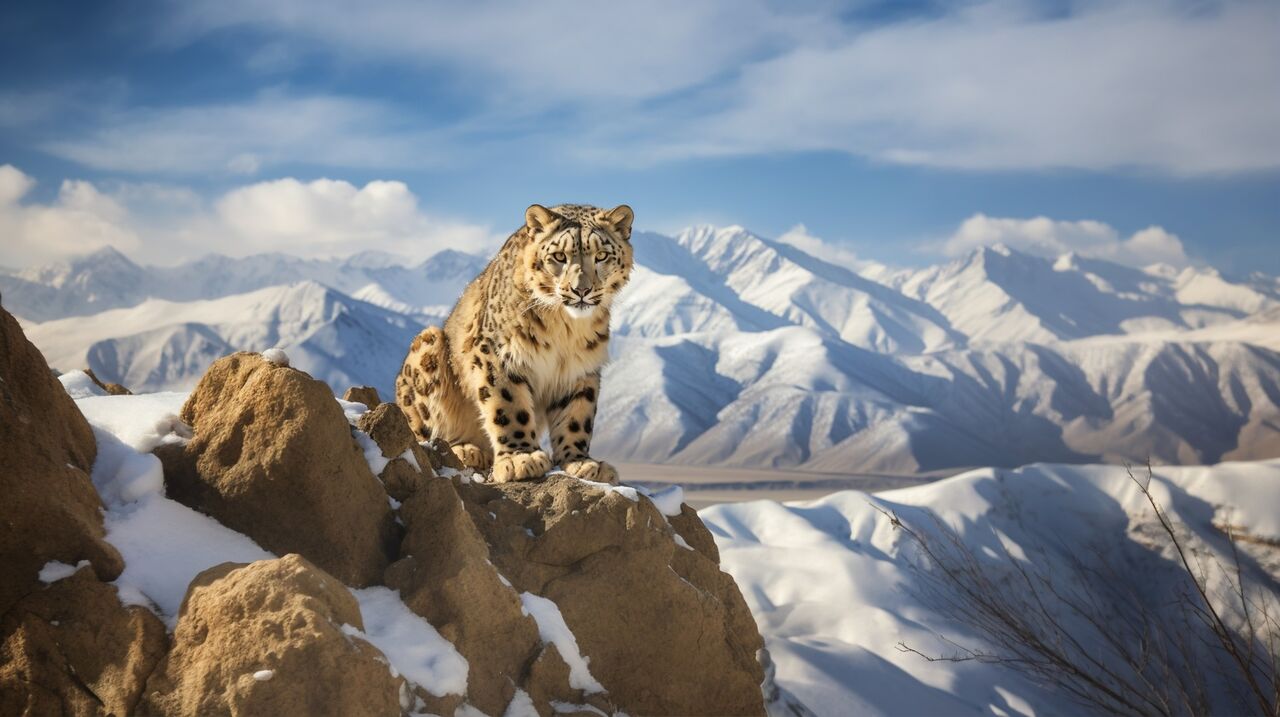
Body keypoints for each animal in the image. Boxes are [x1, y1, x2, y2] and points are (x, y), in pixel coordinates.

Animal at [394, 203, 634, 484]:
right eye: (559, 256)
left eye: (602, 255)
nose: (581, 290)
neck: (566, 329)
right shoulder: (499, 354)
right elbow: (508, 406)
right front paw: (521, 458)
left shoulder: (581, 367)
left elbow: (577, 415)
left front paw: (581, 462)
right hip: (428, 345)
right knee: (425, 434)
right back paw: (466, 450)